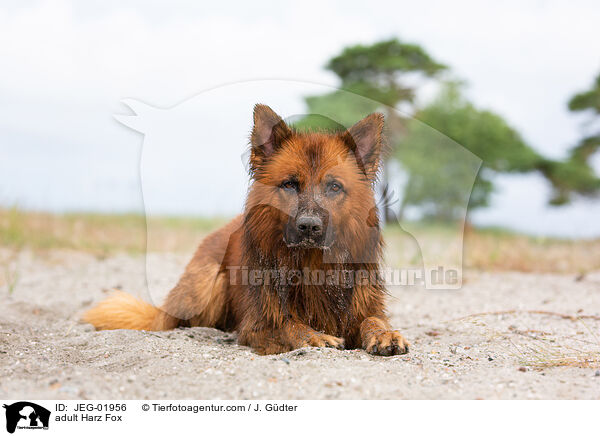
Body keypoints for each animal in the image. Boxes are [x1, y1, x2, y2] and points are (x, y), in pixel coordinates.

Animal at [84, 104, 410, 356]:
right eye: (289, 184)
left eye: (334, 187)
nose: (309, 226)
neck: (311, 265)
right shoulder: (257, 325)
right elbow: (288, 325)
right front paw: (313, 335)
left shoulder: (362, 308)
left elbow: (372, 320)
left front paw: (386, 334)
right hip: (208, 286)